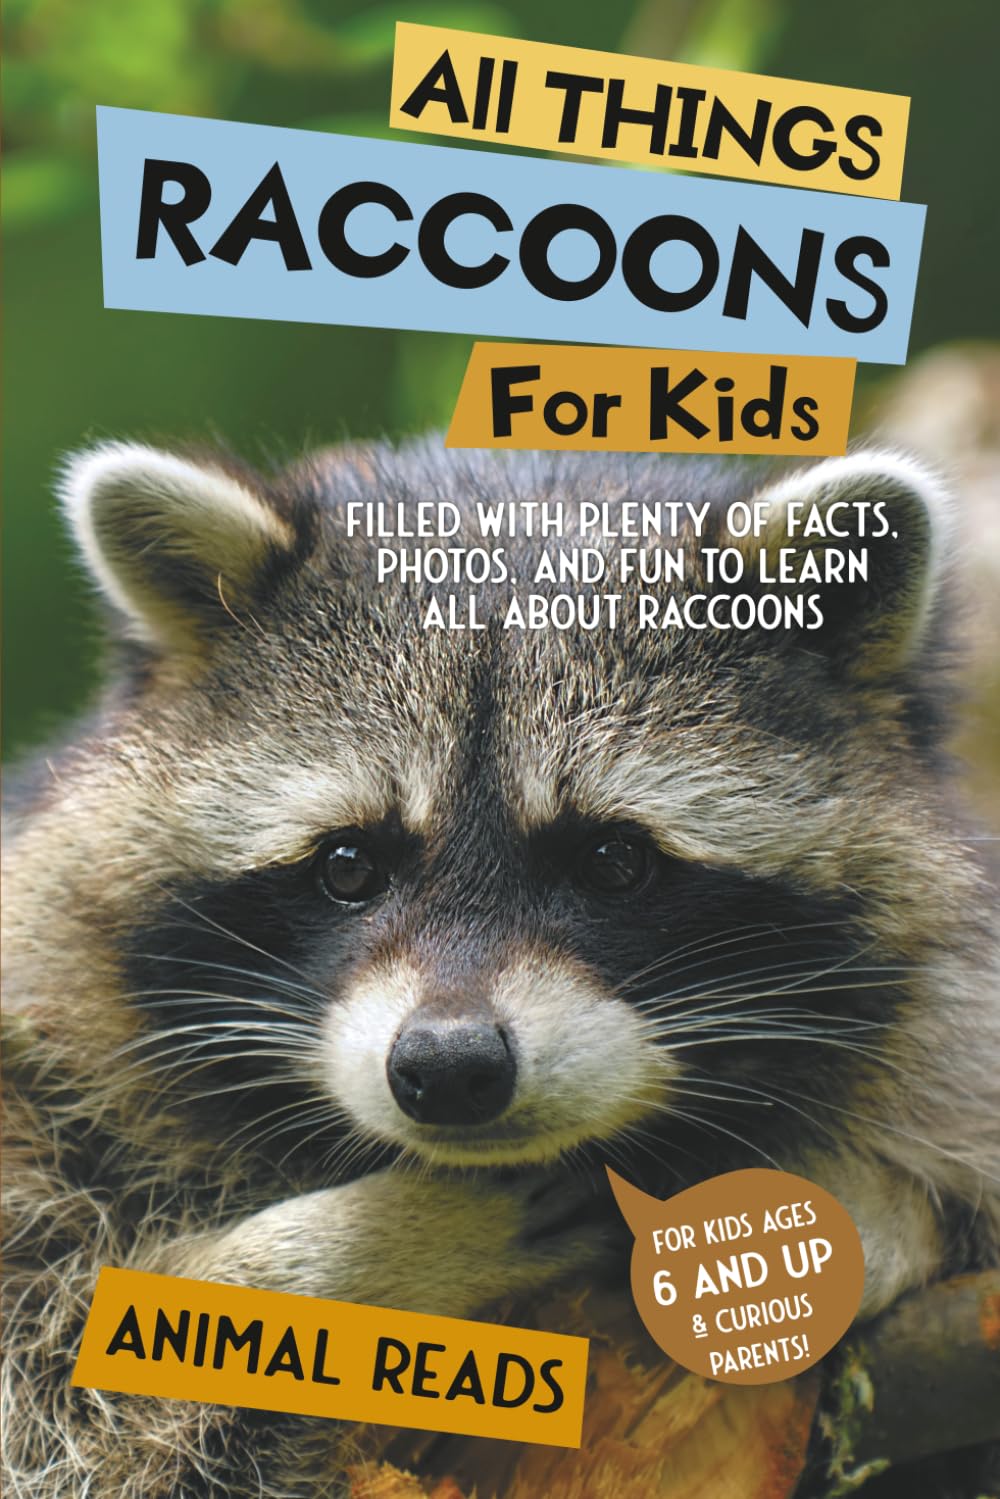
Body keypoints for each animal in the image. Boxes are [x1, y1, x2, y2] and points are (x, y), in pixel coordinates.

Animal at [2, 439, 998, 1498]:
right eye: (348, 864)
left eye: (614, 860)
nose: (449, 1068)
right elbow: (62, 1371)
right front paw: (355, 1253)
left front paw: (856, 1222)